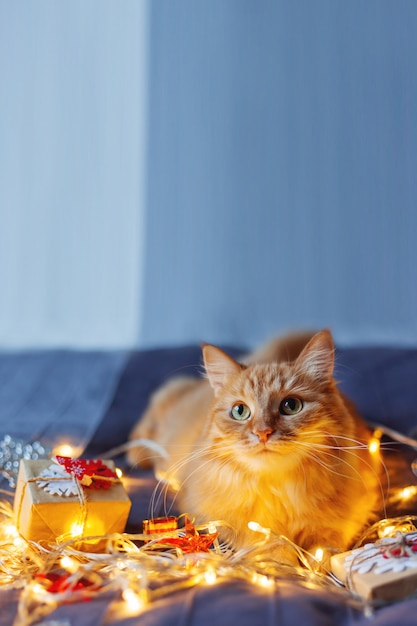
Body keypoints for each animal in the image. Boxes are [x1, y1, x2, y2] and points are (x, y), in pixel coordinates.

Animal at [129, 330, 380, 560]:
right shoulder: (220, 518)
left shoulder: (345, 517)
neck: (279, 490)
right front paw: (282, 559)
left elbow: (326, 549)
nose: (262, 433)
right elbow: (268, 543)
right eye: (240, 411)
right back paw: (137, 452)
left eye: (291, 405)